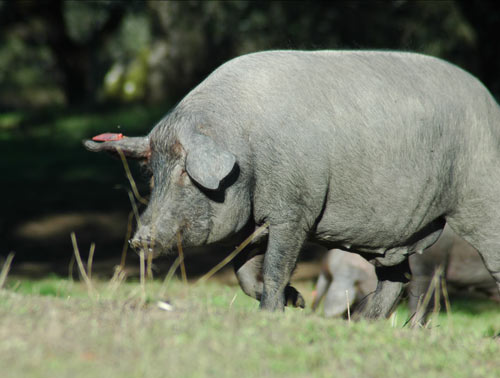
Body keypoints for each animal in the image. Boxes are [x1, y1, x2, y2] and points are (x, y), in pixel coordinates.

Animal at [86, 49, 500, 316]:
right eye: (153, 173)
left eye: (187, 172)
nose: (140, 239)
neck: (246, 149)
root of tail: (491, 102)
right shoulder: (252, 225)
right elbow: (242, 273)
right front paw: (295, 302)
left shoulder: (295, 210)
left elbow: (275, 267)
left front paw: (274, 313)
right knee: (397, 279)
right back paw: (367, 322)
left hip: (482, 196)